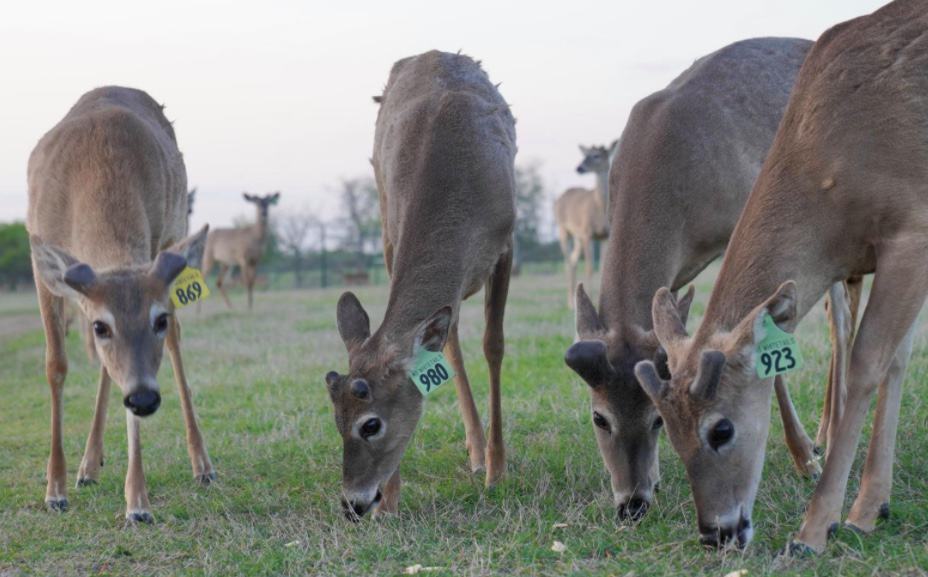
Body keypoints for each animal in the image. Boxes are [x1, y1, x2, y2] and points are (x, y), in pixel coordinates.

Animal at [26, 86, 215, 523]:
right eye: (101, 326)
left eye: (157, 320)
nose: (144, 398)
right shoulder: (44, 271)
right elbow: (56, 366)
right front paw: (55, 489)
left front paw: (138, 502)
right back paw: (88, 466)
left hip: (172, 233)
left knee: (176, 345)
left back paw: (202, 464)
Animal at [324, 50, 516, 519]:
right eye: (336, 421)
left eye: (370, 424)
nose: (353, 503)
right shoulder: (391, 236)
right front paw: (390, 499)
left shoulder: (507, 242)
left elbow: (494, 345)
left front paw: (497, 472)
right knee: (450, 338)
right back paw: (473, 449)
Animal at [554, 141, 617, 308]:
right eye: (585, 154)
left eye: (596, 155)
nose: (579, 168)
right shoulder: (587, 233)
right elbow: (589, 268)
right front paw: (592, 299)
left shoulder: (604, 235)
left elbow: (601, 268)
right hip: (563, 229)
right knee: (567, 262)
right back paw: (570, 301)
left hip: (578, 237)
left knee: (573, 260)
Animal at [563, 37, 864, 521]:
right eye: (599, 417)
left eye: (655, 419)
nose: (632, 503)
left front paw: (804, 458)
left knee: (839, 317)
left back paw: (829, 436)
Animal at [634, 0, 927, 553]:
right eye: (666, 428)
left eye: (721, 430)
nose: (717, 532)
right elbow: (897, 360)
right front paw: (870, 507)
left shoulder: (913, 229)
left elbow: (868, 363)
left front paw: (817, 526)